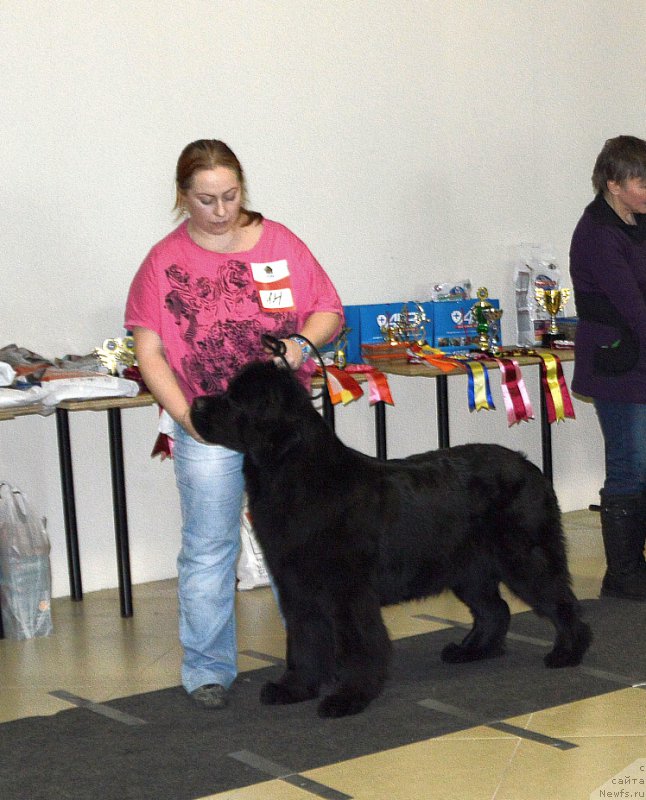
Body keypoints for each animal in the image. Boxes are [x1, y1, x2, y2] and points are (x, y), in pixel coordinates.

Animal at [191, 362, 592, 720]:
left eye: (234, 398)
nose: (195, 403)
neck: (294, 473)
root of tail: (530, 467)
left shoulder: (347, 592)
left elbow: (357, 646)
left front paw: (348, 698)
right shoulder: (297, 587)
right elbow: (304, 641)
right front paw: (294, 688)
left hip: (524, 558)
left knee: (561, 602)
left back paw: (568, 652)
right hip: (468, 568)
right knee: (496, 610)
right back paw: (472, 651)